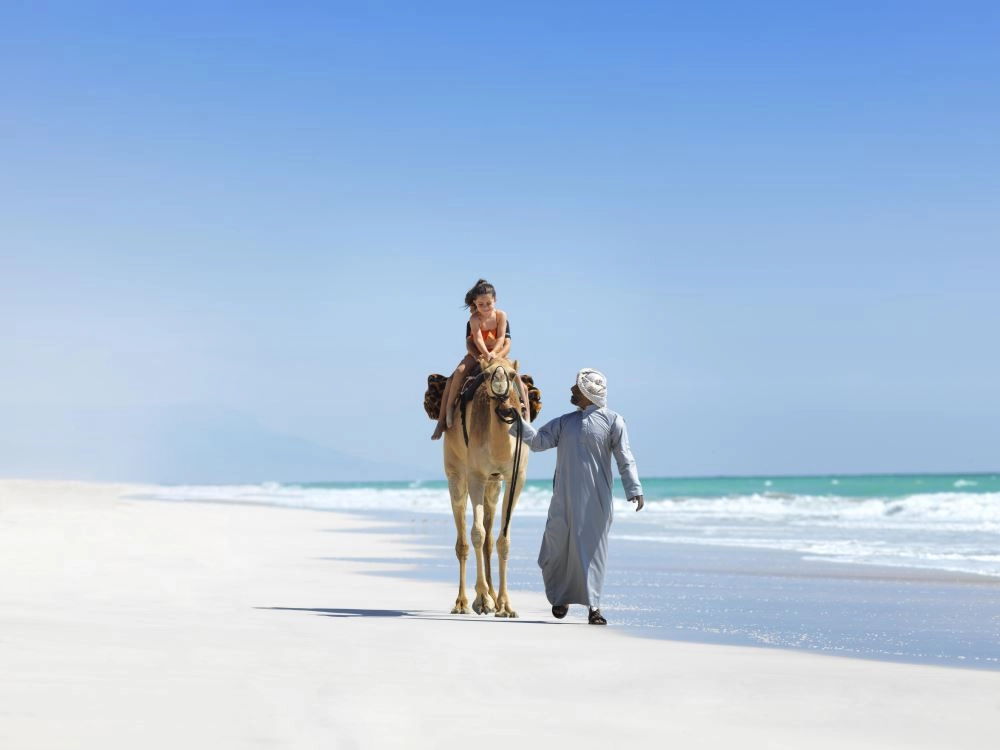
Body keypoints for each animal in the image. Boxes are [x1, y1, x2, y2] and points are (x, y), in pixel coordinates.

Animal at [438, 357, 532, 618]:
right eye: (488, 373)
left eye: (512, 375)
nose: (499, 384)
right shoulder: (476, 476)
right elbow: (477, 533)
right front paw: (482, 600)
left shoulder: (516, 477)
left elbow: (503, 540)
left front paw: (506, 605)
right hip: (456, 473)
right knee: (463, 536)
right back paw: (462, 603)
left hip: (494, 484)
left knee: (490, 536)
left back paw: (493, 596)